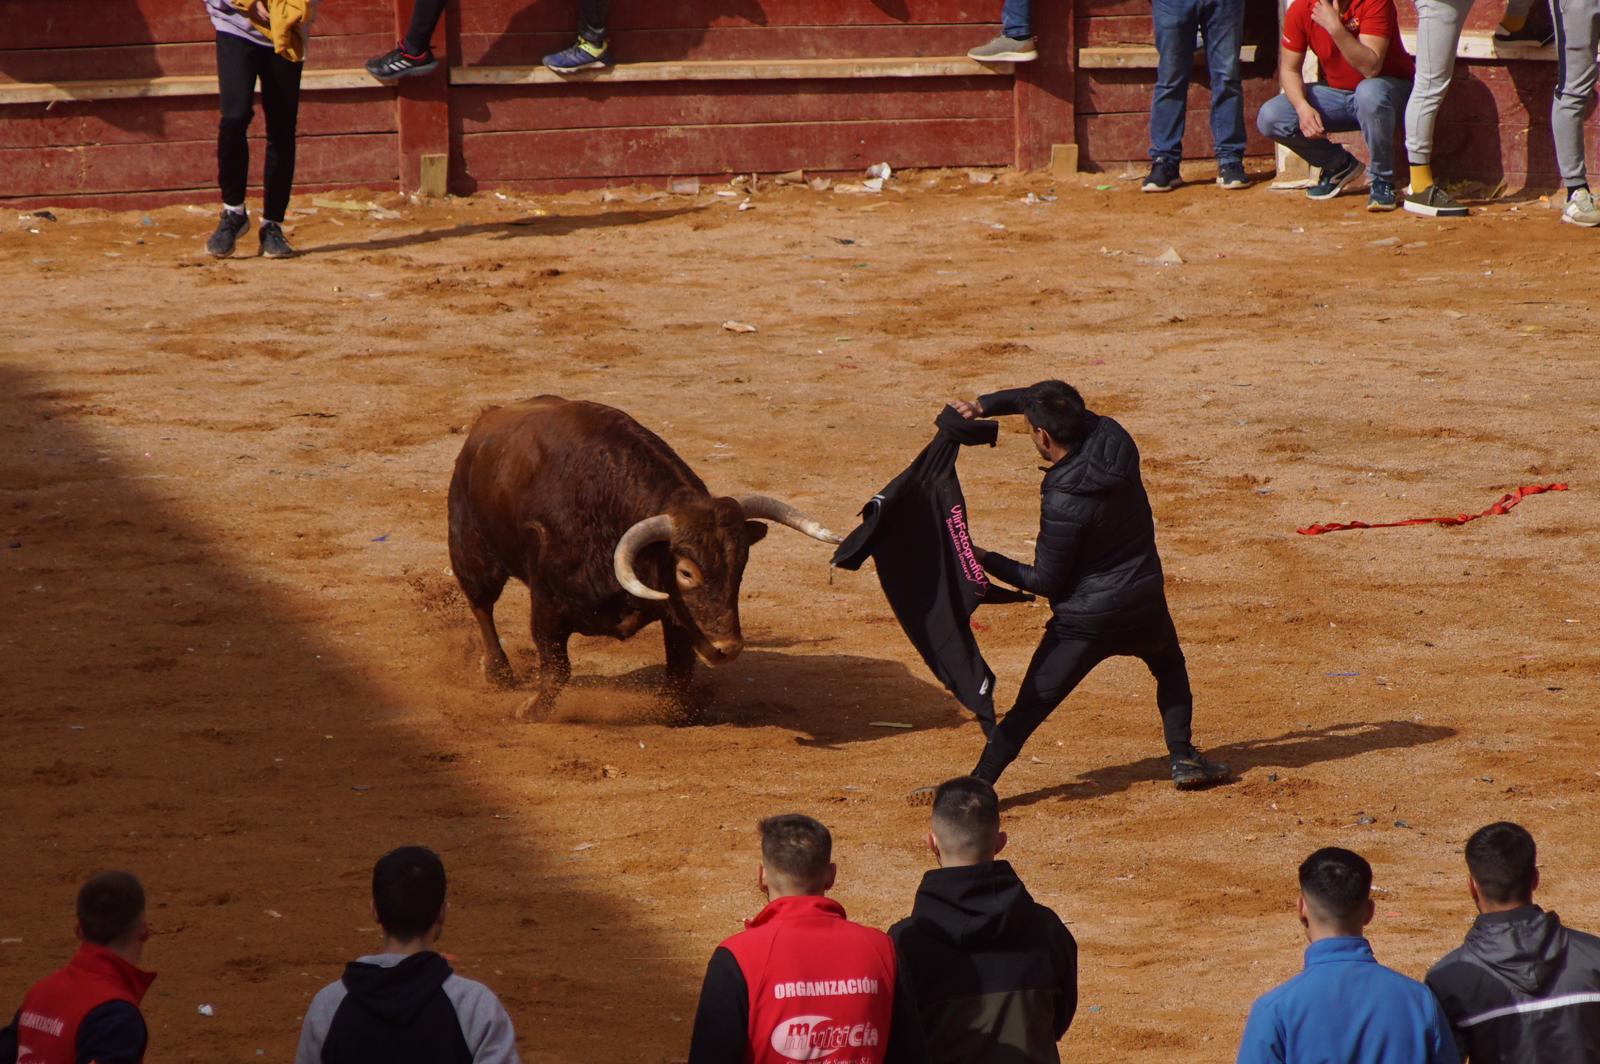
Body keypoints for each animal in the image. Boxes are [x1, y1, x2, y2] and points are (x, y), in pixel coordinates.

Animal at [444, 393, 844, 716]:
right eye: (686, 573)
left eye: (741, 565)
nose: (728, 648)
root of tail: (488, 418)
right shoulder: (546, 605)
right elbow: (557, 668)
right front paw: (531, 710)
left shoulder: (677, 617)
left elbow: (680, 671)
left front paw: (673, 710)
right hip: (471, 551)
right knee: (481, 605)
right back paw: (499, 673)